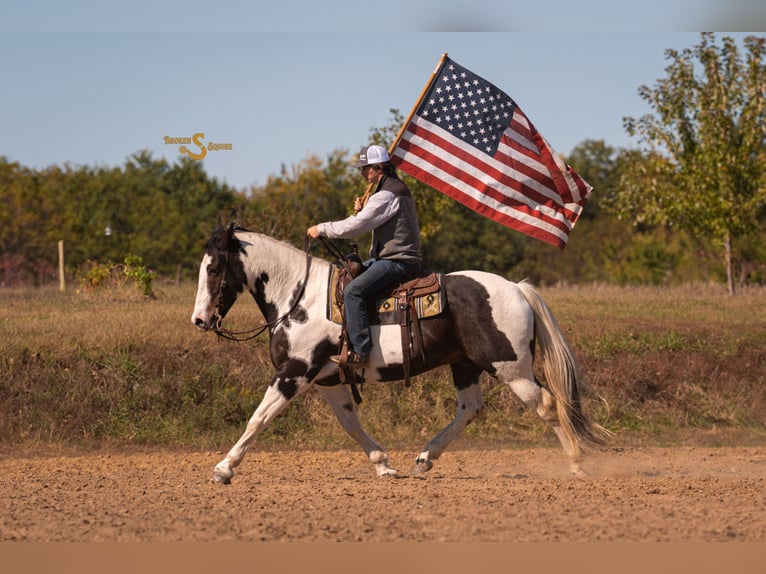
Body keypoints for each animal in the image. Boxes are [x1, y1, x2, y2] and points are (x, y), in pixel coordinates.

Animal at [191, 223, 609, 484]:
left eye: (214, 268)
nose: (199, 319)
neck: (300, 297)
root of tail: (517, 289)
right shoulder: (327, 379)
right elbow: (350, 423)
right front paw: (384, 466)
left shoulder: (294, 372)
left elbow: (257, 419)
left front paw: (224, 468)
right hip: (466, 366)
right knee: (470, 408)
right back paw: (424, 459)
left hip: (511, 369)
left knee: (548, 405)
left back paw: (577, 463)